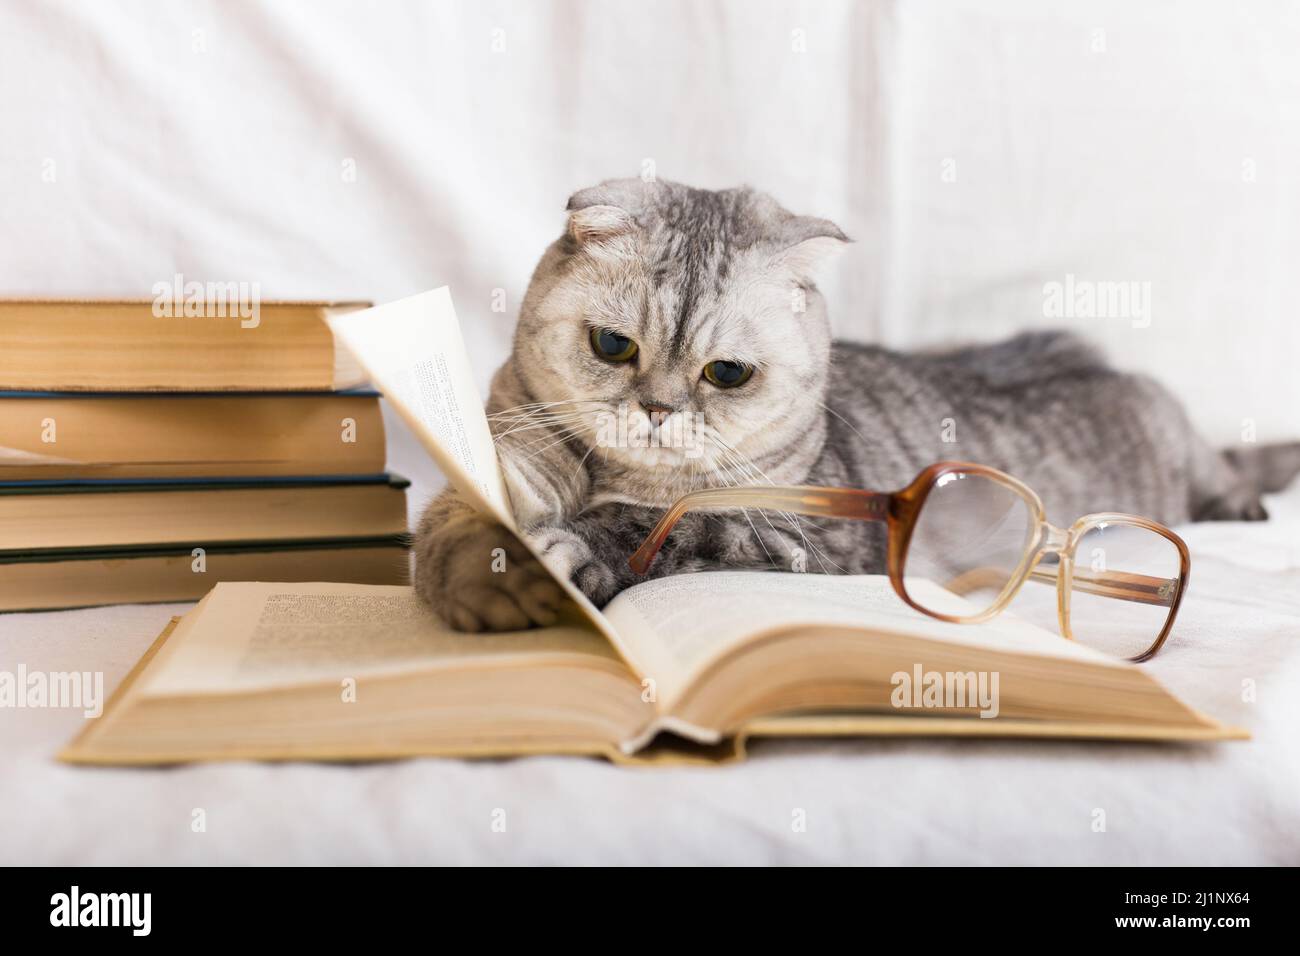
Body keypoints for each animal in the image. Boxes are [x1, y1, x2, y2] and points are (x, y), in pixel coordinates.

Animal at [413, 178, 1300, 634]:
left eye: (726, 373)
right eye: (611, 346)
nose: (658, 410)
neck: (602, 477)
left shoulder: (798, 540)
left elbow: (659, 528)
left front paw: (565, 555)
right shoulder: (502, 456)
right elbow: (451, 524)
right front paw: (475, 572)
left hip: (1176, 447)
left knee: (1225, 468)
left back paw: (1243, 501)